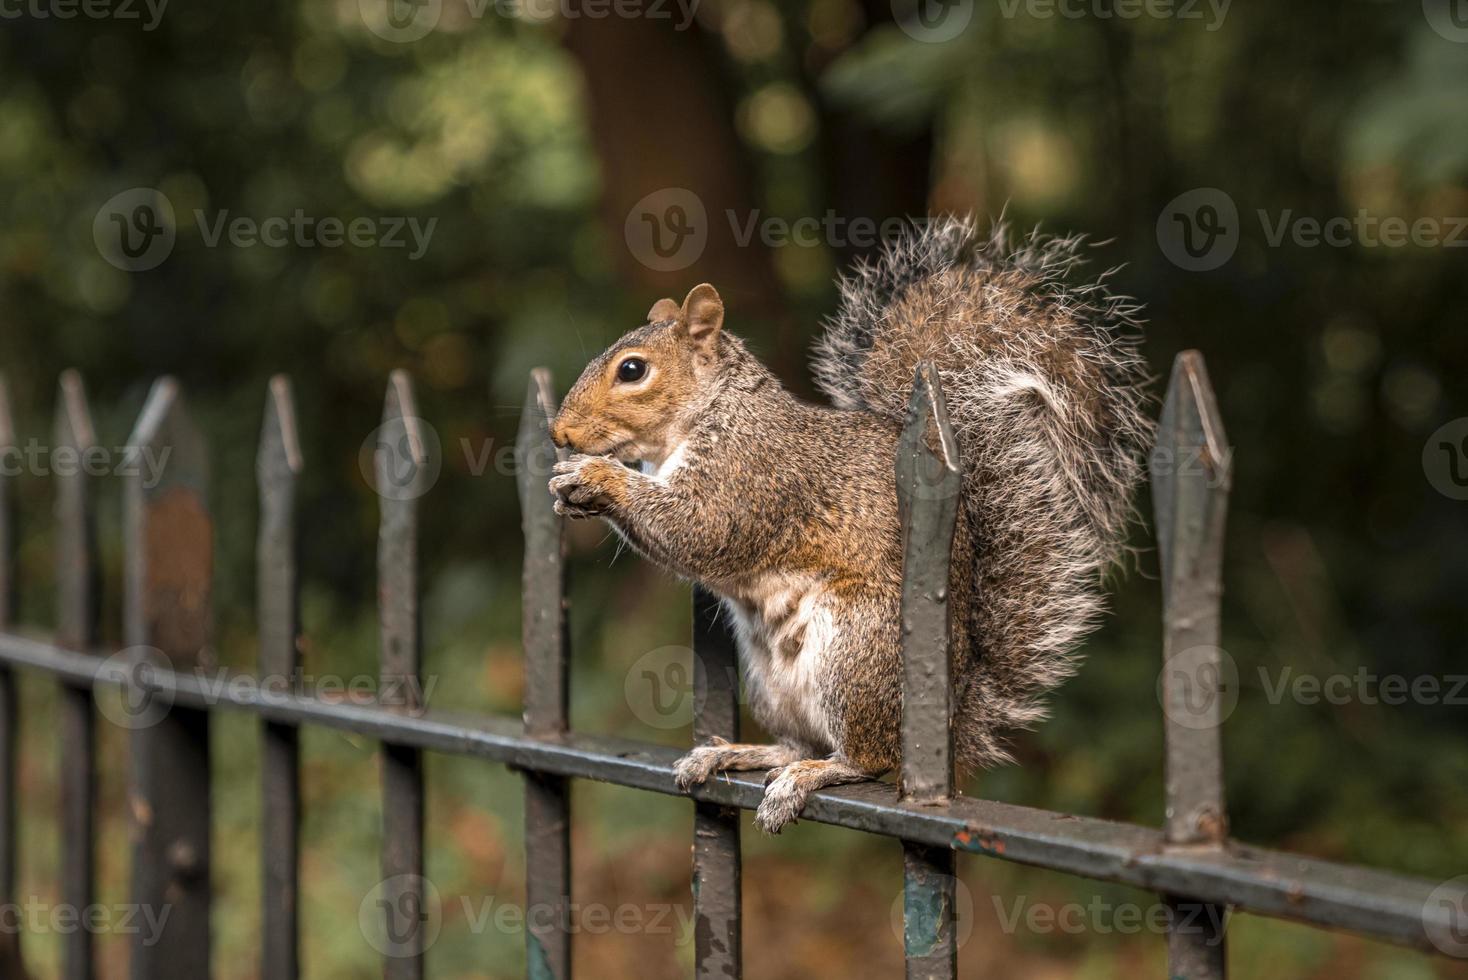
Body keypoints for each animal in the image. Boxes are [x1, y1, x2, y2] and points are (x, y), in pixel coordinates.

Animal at [546, 218, 1150, 833]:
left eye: (633, 369)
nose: (558, 432)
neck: (707, 415)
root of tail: (948, 718)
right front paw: (570, 492)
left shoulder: (753, 475)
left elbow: (699, 530)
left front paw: (597, 477)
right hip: (770, 679)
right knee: (796, 743)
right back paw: (736, 753)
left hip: (855, 649)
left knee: (867, 759)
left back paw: (810, 776)